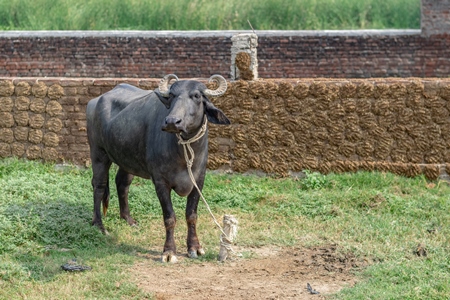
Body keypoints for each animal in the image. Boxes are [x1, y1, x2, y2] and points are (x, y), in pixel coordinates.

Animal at [86, 74, 230, 262]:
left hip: (127, 158)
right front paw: (169, 252)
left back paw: (128, 219)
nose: (172, 122)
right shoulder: (161, 182)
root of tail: (94, 101)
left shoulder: (199, 180)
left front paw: (194, 247)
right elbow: (169, 217)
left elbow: (191, 215)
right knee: (99, 185)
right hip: (98, 153)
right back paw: (99, 225)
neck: (183, 150)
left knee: (122, 183)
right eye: (173, 96)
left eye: (197, 96)